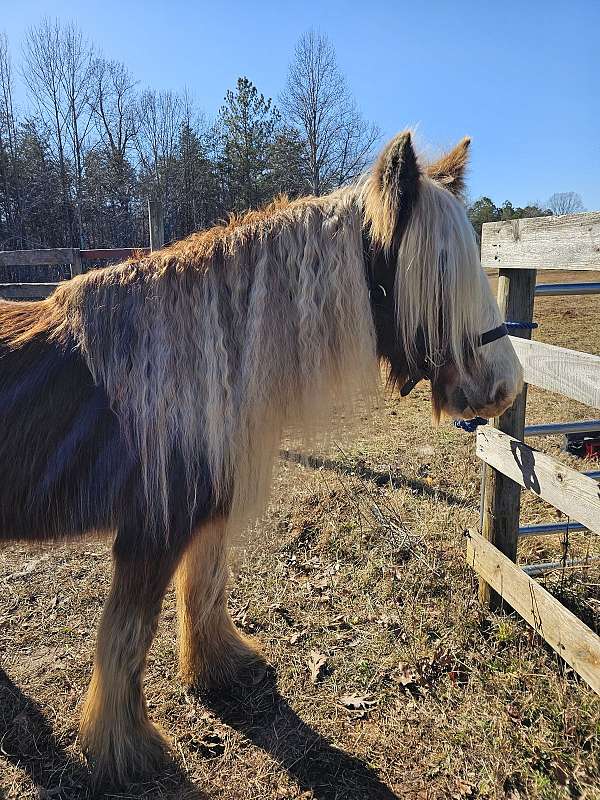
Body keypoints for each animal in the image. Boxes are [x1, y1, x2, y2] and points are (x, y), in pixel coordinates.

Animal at [0, 133, 524, 788]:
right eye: (439, 273)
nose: (504, 387)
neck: (196, 364)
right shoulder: (151, 533)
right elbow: (127, 637)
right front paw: (125, 749)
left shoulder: (205, 518)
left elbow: (205, 586)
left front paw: (217, 667)